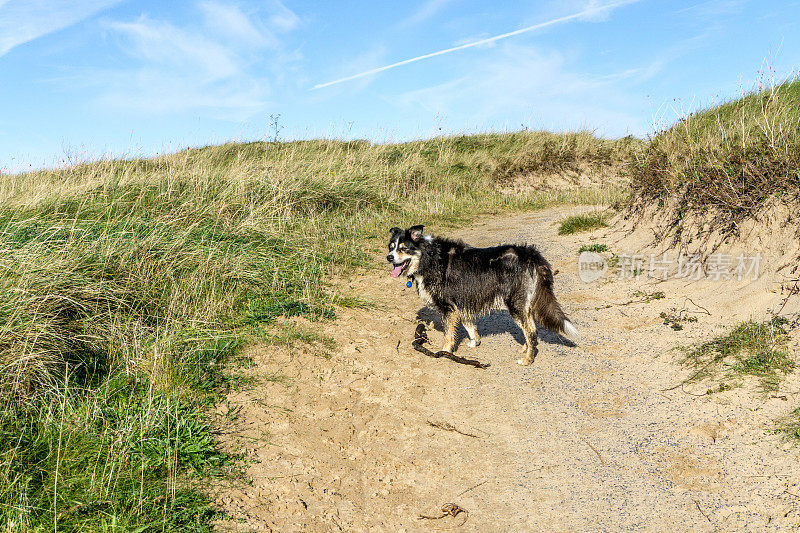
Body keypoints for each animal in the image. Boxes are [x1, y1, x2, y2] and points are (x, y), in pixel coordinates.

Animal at [386, 224, 576, 366]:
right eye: (391, 247)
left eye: (403, 249)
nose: (389, 257)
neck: (428, 257)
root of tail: (530, 254)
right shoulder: (460, 302)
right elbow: (469, 325)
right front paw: (474, 342)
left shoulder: (447, 307)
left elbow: (448, 335)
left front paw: (444, 353)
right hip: (523, 304)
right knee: (531, 328)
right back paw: (526, 348)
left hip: (515, 303)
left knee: (531, 332)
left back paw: (528, 359)